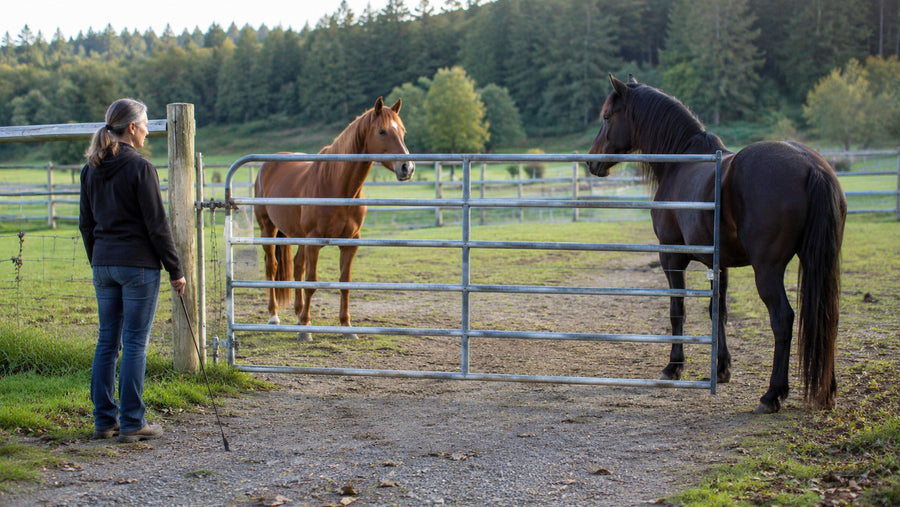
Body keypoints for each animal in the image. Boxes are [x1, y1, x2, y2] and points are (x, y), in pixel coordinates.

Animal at [254, 97, 414, 342]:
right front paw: (305, 332)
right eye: (382, 131)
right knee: (271, 267)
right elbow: (311, 283)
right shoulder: (315, 242)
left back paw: (299, 313)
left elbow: (344, 283)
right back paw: (274, 316)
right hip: (268, 229)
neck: (336, 185)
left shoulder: (350, 243)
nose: (407, 167)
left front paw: (346, 326)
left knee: (297, 266)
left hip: (296, 235)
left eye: (403, 131)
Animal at [587, 74, 846, 414]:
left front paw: (674, 367)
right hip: (819, 264)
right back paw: (827, 390)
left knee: (783, 318)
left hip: (768, 270)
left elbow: (678, 310)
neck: (681, 164)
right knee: (826, 315)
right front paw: (721, 368)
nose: (592, 161)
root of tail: (812, 165)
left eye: (607, 116)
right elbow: (717, 310)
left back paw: (772, 395)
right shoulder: (719, 263)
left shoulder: (672, 257)